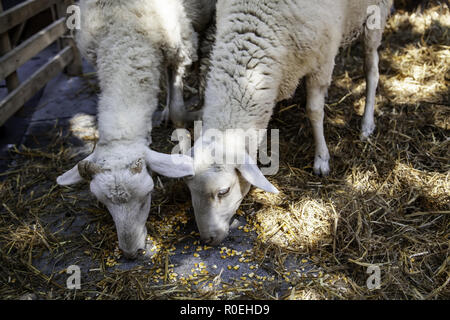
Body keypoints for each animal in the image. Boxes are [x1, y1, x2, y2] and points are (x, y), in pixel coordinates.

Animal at [55, 0, 219, 258]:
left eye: (147, 197)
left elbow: (178, 110)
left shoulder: (179, 46)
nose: (131, 252)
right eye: (105, 204)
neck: (124, 34)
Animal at [185, 0, 392, 245]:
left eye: (223, 191)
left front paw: (321, 159)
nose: (206, 239)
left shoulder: (322, 59)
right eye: (189, 189)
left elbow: (314, 111)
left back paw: (367, 125)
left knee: (372, 69)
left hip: (374, 15)